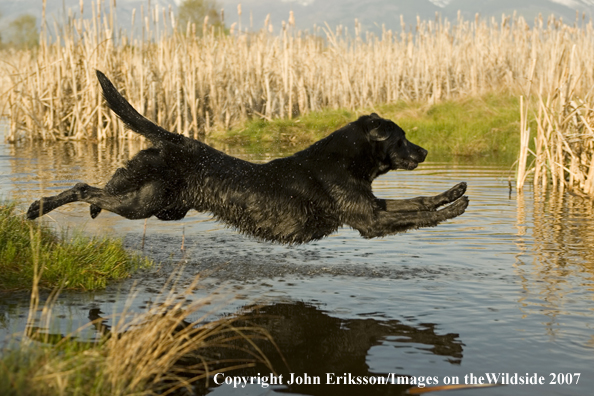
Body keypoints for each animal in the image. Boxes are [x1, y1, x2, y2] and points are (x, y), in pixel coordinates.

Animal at [26, 71, 468, 244]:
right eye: (402, 137)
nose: (425, 151)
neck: (345, 162)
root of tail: (174, 139)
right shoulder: (369, 221)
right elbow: (419, 215)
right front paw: (455, 208)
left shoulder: (371, 206)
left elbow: (418, 202)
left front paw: (453, 191)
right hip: (143, 202)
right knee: (85, 188)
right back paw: (37, 207)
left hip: (160, 204)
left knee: (101, 188)